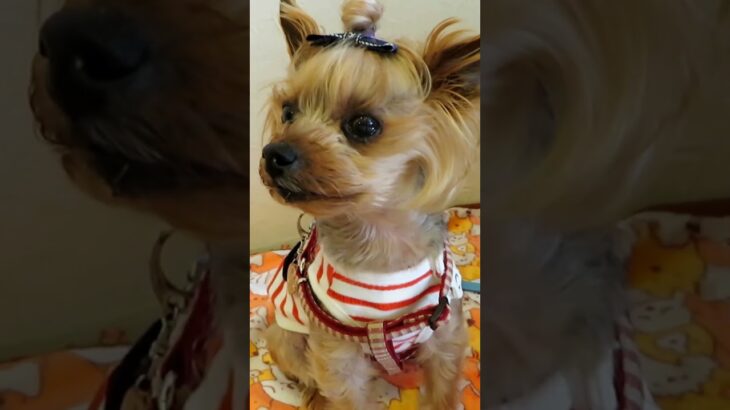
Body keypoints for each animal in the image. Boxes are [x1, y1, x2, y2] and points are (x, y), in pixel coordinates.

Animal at [258, 1, 480, 408]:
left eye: (364, 125)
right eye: (288, 113)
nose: (274, 154)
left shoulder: (445, 334)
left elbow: (442, 385)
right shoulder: (336, 351)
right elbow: (343, 389)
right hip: (287, 335)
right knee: (303, 367)